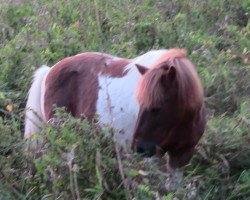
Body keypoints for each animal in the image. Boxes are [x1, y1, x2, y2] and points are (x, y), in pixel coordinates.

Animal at [24, 48, 206, 169]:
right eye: (140, 104)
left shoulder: (181, 155)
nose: (139, 148)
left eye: (157, 108)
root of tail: (49, 71)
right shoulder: (154, 157)